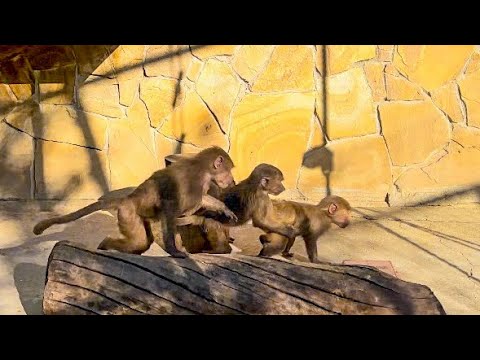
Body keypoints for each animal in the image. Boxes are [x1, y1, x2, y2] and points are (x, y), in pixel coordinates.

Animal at [31, 147, 238, 258]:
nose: (232, 180)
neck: (203, 170)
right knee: (139, 240)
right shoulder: (192, 180)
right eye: (228, 170)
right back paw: (105, 245)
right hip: (127, 214)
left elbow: (201, 201)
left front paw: (224, 209)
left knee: (141, 242)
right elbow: (170, 209)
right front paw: (174, 250)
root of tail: (127, 199)